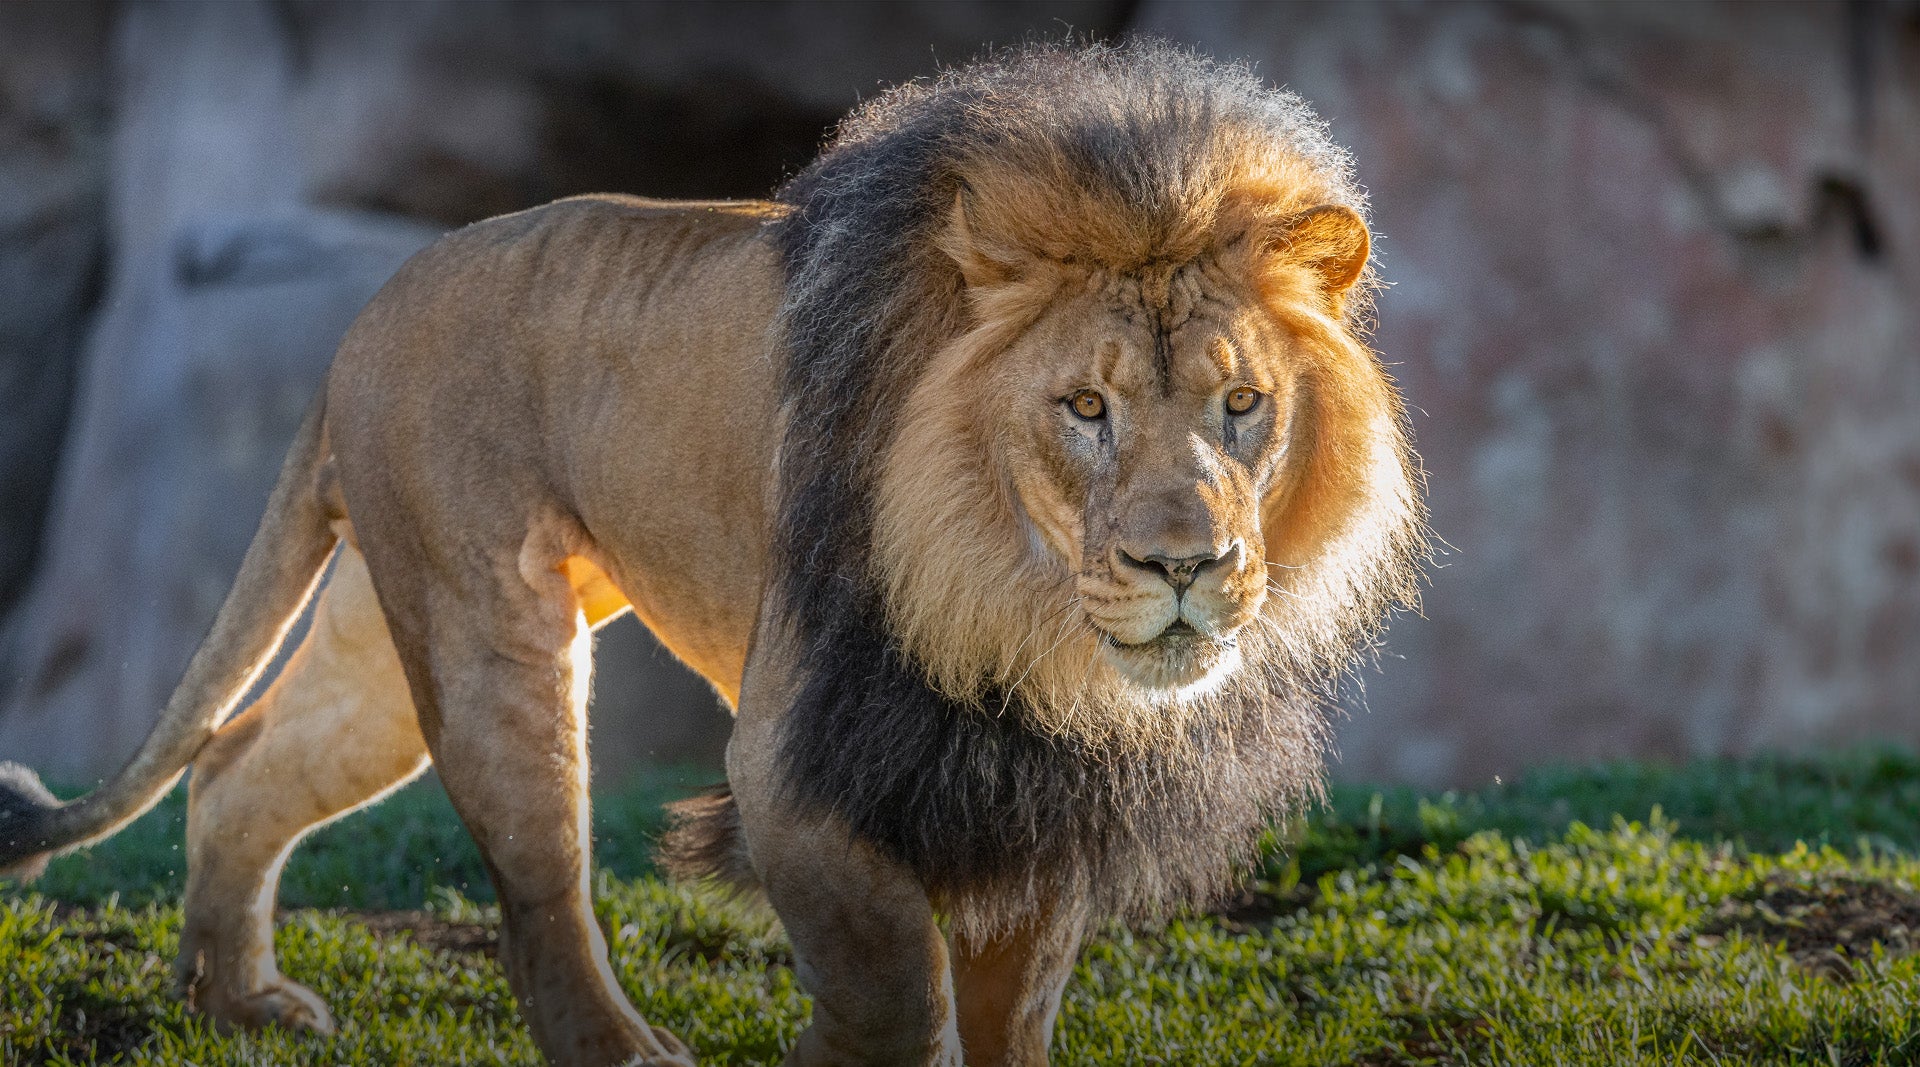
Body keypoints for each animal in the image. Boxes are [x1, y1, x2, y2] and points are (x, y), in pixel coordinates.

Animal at [0, 42, 1423, 1066]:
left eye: (1242, 405)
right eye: (1085, 408)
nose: (1186, 564)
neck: (1018, 610)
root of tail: (371, 308)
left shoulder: (1031, 787)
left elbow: (1013, 1009)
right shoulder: (794, 770)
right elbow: (899, 998)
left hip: (382, 632)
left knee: (241, 760)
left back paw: (234, 1003)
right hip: (488, 626)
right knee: (540, 890)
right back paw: (618, 1048)